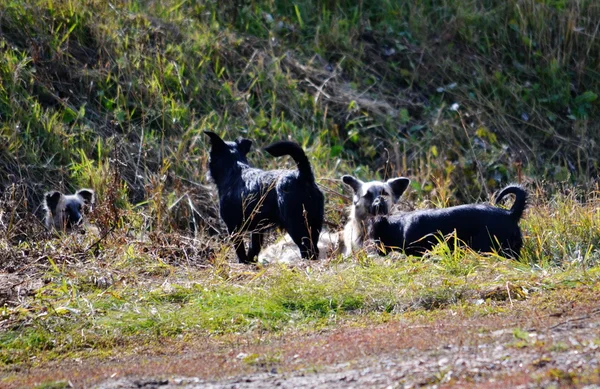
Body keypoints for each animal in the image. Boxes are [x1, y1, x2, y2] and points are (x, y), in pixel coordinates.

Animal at [204, 132, 324, 262]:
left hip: (296, 226)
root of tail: (302, 176)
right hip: (314, 225)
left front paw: (243, 261)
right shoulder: (258, 229)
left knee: (308, 250)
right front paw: (251, 261)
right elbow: (254, 247)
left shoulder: (233, 228)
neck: (234, 168)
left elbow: (240, 249)